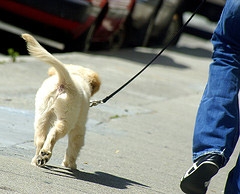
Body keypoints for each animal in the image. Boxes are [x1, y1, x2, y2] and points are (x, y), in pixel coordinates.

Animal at [22, 33, 101, 168]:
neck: (76, 75)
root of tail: (65, 81)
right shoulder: (79, 127)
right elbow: (74, 146)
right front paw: (70, 164)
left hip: (42, 115)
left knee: (40, 139)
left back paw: (37, 160)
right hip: (67, 119)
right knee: (53, 134)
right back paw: (46, 154)